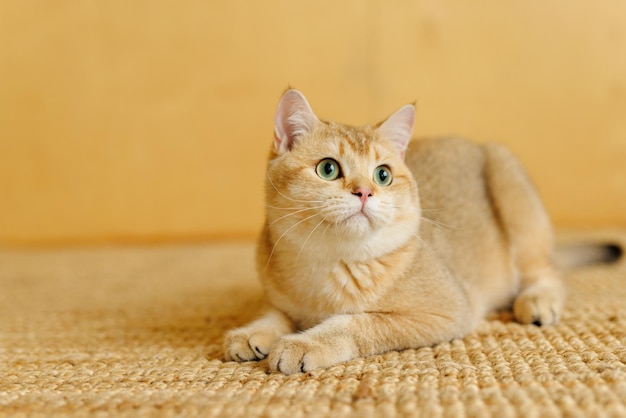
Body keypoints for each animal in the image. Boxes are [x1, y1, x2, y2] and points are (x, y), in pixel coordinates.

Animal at [222, 89, 616, 376]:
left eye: (383, 175)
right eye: (328, 169)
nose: (364, 192)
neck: (331, 262)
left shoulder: (445, 313)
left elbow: (357, 323)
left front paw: (303, 344)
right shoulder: (281, 296)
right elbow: (274, 313)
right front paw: (251, 332)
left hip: (511, 186)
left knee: (546, 271)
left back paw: (537, 300)